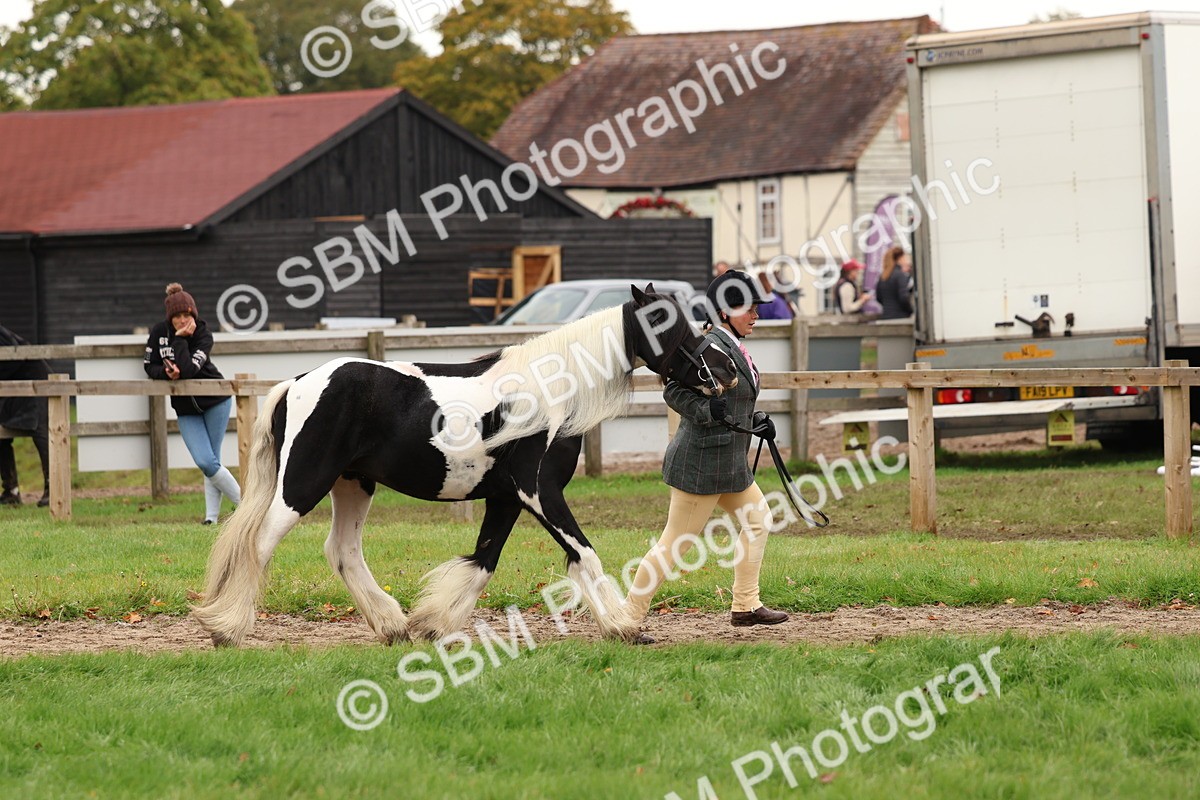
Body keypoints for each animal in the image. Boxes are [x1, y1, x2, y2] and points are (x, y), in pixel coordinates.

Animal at [192, 285, 739, 646]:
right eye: (667, 324)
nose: (728, 371)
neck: (549, 393)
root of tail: (298, 381)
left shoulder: (505, 498)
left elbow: (483, 563)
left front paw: (432, 623)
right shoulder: (539, 492)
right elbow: (585, 555)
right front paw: (624, 625)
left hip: (354, 485)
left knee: (342, 551)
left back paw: (392, 626)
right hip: (303, 483)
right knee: (260, 542)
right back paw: (229, 629)